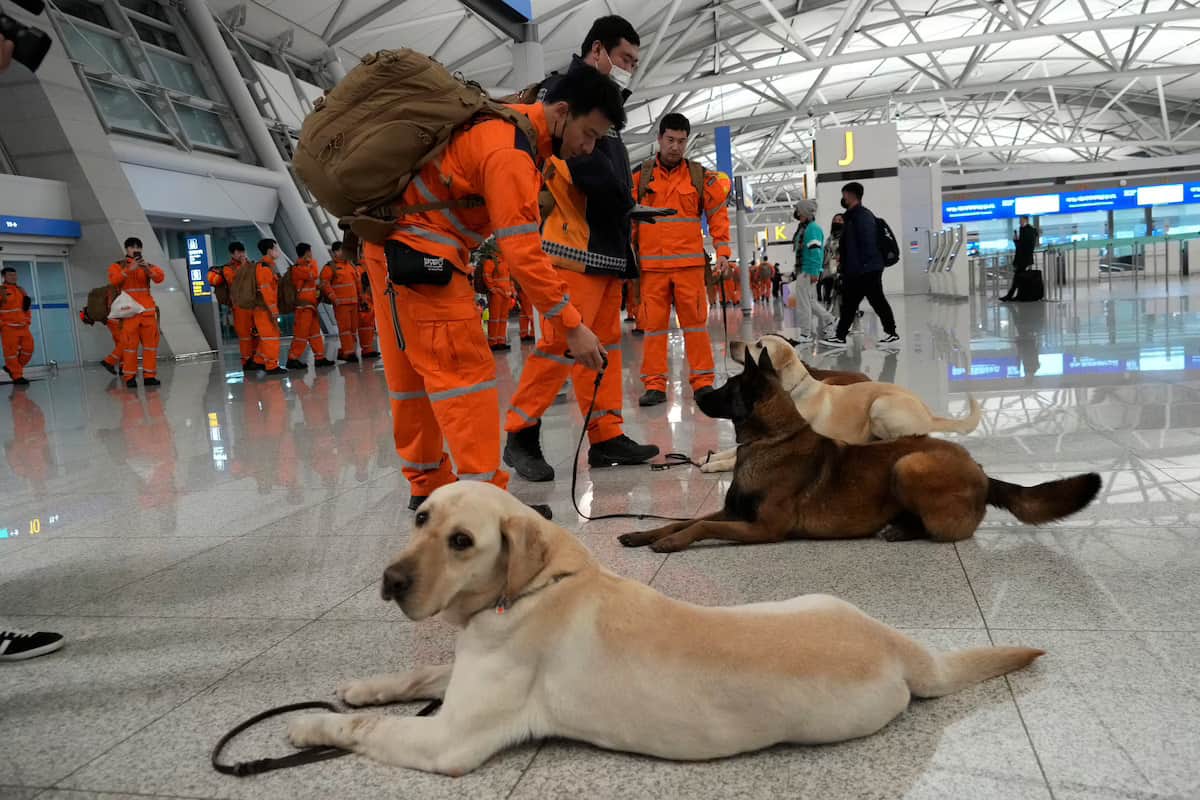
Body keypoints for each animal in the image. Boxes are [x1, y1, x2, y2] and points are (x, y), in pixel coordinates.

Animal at [288, 482, 1041, 777]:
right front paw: (363, 686)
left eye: (462, 541)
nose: (390, 581)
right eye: (421, 519)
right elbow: (418, 673)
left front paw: (308, 726)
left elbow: (369, 730)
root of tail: (899, 645)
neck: (535, 587)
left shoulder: (450, 739)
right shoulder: (464, 670)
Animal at [624, 347, 1099, 554]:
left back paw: (903, 530)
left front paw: (672, 543)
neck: (772, 440)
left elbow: (701, 527)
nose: (697, 393)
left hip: (908, 463)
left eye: (726, 388)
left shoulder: (762, 528)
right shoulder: (733, 511)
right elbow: (683, 520)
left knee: (943, 530)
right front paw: (644, 534)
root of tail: (982, 471)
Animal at [700, 333, 979, 472]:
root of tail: (929, 413)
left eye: (758, 345)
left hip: (880, 405)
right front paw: (709, 458)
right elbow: (730, 451)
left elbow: (734, 458)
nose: (731, 342)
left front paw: (713, 465)